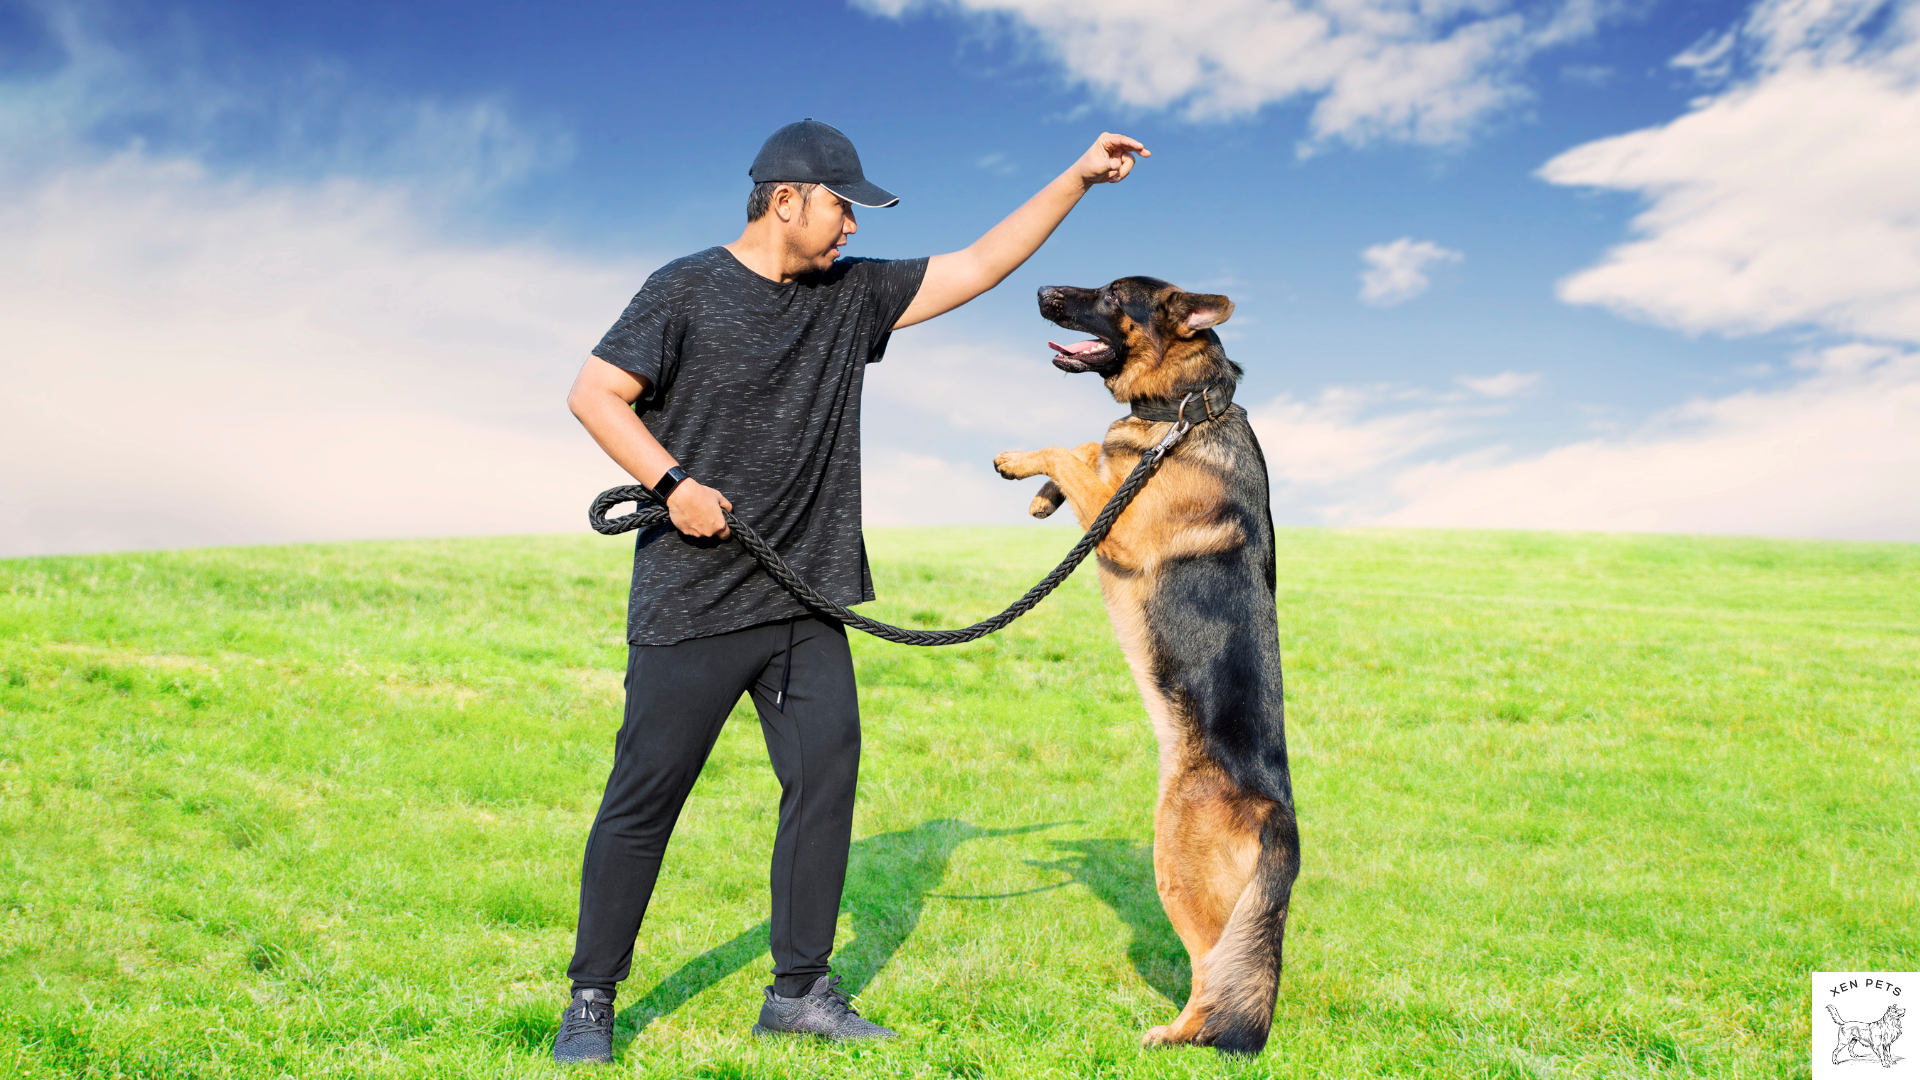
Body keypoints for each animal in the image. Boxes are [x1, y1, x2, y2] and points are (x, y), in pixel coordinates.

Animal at [998, 274, 1297, 1053]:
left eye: (1110, 295)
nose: (1041, 286)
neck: (1187, 413)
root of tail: (1279, 822)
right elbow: (1088, 454)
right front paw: (1042, 496)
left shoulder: (1121, 523)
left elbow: (1076, 449)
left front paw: (1020, 463)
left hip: (1178, 869)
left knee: (1211, 968)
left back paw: (1175, 1033)